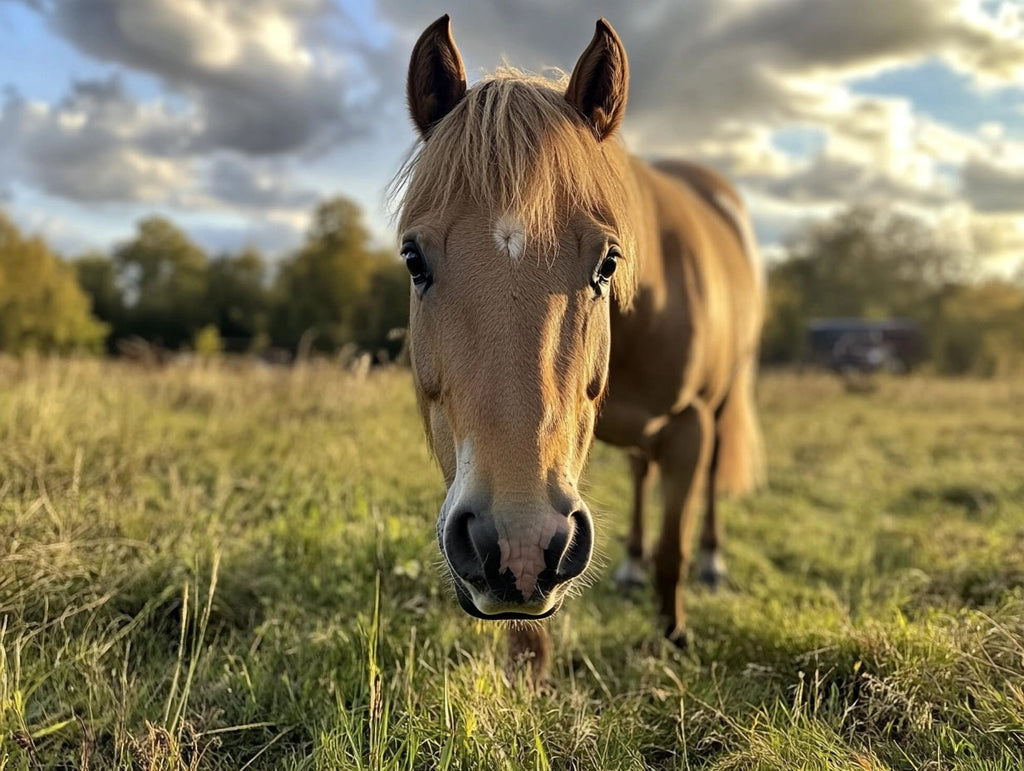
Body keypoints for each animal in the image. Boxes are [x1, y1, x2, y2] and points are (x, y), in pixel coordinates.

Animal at [395, 15, 765, 679]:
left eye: (608, 263)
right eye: (414, 259)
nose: (515, 543)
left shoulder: (690, 424)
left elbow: (673, 544)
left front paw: (673, 635)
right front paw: (529, 672)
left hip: (721, 405)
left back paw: (711, 562)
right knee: (641, 473)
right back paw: (630, 567)